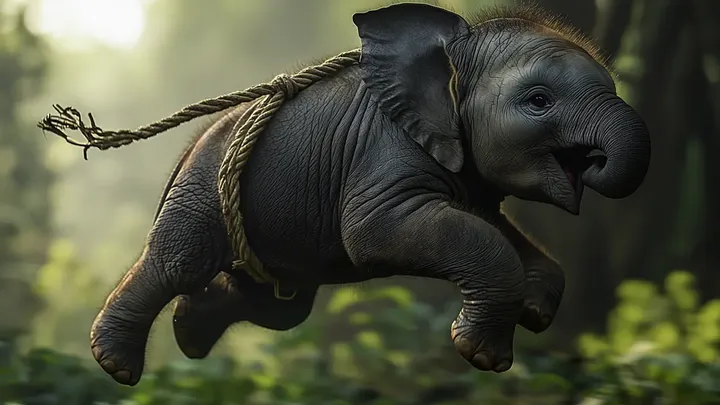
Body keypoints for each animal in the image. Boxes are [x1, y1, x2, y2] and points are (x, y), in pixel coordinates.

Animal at [88, 3, 651, 386]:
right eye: (538, 101)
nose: (595, 161)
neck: (453, 51)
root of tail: (188, 148)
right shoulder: (385, 151)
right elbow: (376, 232)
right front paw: (480, 357)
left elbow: (498, 231)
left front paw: (531, 316)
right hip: (203, 190)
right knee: (180, 265)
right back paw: (115, 366)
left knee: (280, 306)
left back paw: (187, 332)